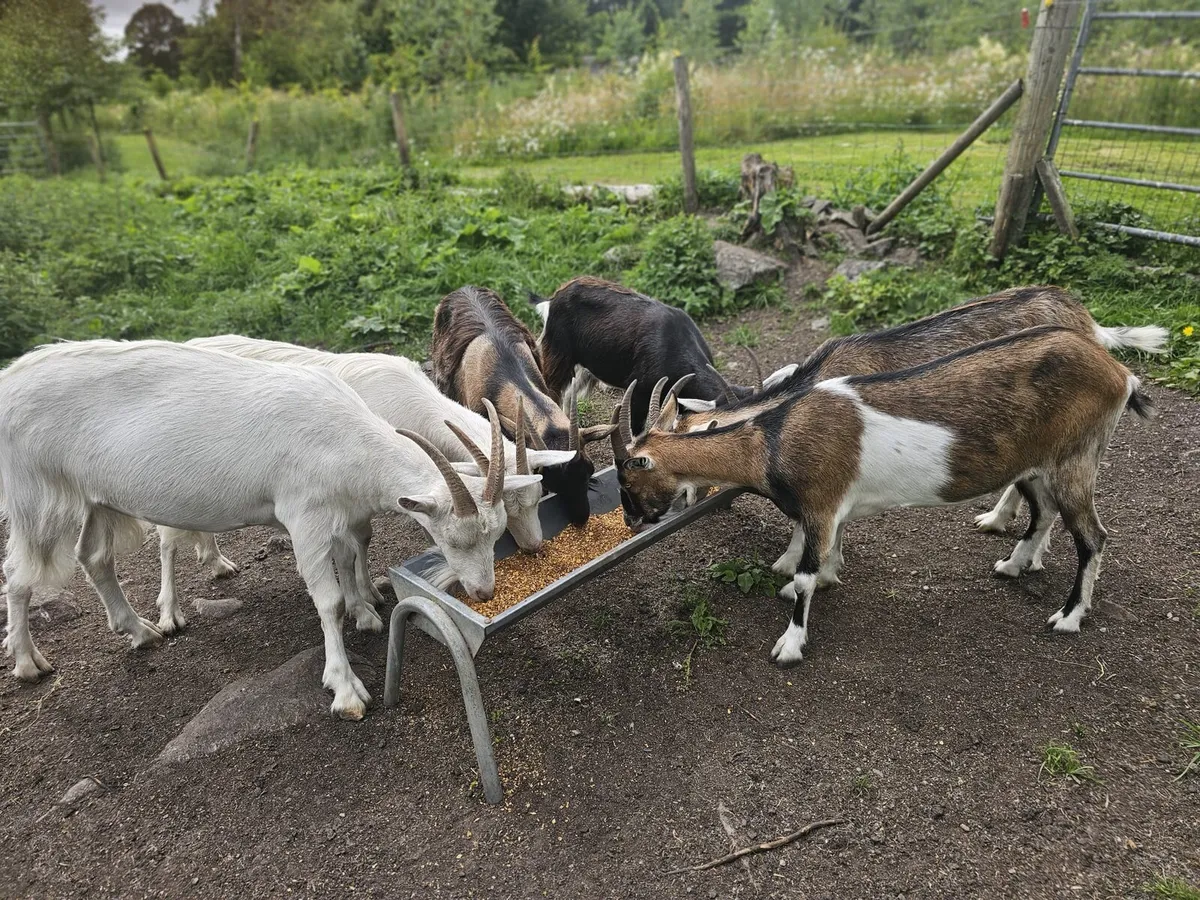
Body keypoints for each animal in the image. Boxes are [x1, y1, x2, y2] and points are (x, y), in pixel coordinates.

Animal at [0, 340, 539, 719]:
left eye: (496, 533)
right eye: (453, 537)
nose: (484, 591)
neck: (342, 435)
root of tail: (10, 381)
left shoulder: (342, 515)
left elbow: (351, 559)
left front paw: (366, 613)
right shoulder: (305, 517)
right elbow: (328, 600)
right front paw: (345, 689)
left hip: (98, 498)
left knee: (94, 556)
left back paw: (140, 631)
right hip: (36, 495)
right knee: (20, 576)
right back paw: (29, 663)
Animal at [166, 336, 575, 626]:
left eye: (536, 497)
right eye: (509, 508)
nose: (534, 547)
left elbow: (362, 540)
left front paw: (367, 595)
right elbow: (357, 540)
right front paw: (365, 599)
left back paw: (216, 561)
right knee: (167, 539)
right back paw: (169, 614)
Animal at [529, 276, 756, 436]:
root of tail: (553, 299)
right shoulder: (639, 391)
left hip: (583, 365)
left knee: (570, 392)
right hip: (557, 355)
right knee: (553, 391)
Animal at [615, 326, 1156, 667]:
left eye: (628, 477)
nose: (630, 521)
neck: (772, 436)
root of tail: (1120, 374)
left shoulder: (820, 500)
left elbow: (806, 573)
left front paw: (790, 643)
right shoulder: (832, 507)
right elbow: (827, 552)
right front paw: (826, 576)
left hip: (1075, 461)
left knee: (1093, 536)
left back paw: (1068, 616)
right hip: (1039, 465)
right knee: (1044, 513)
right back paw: (1013, 565)